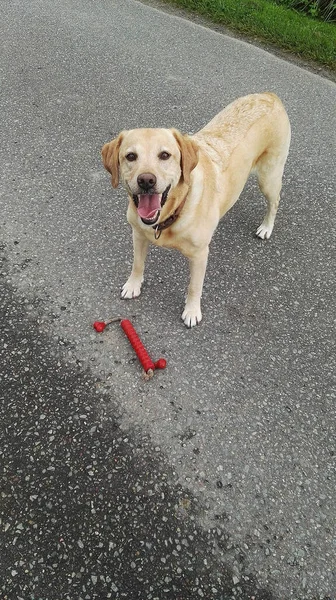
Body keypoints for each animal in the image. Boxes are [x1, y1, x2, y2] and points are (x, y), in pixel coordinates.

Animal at [101, 92, 290, 328]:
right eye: (130, 156)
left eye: (165, 155)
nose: (146, 181)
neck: (171, 213)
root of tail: (269, 96)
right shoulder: (138, 234)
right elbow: (137, 263)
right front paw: (133, 284)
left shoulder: (200, 255)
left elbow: (194, 287)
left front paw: (191, 311)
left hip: (268, 178)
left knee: (275, 202)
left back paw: (266, 227)